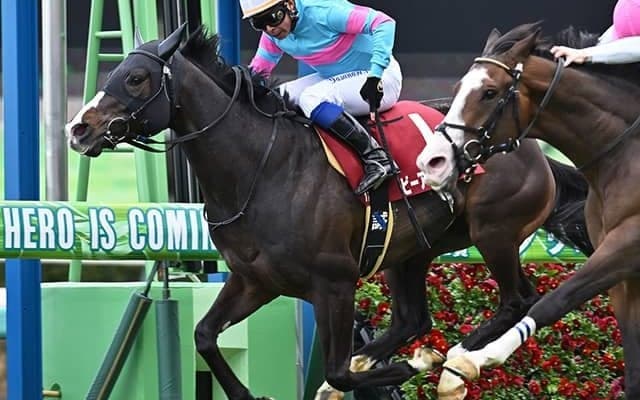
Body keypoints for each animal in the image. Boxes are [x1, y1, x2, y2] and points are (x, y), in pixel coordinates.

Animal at [65, 25, 591, 399]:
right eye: (112, 74)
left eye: (136, 78)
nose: (78, 129)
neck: (263, 169)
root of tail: (532, 148)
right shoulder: (254, 280)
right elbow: (204, 335)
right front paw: (247, 393)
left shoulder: (333, 283)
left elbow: (338, 372)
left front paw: (411, 365)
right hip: (411, 250)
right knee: (412, 319)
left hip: (494, 232)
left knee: (517, 301)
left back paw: (453, 363)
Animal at [417, 22, 640, 399]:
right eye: (457, 88)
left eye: (489, 92)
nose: (433, 161)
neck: (625, 156)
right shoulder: (625, 276)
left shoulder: (626, 245)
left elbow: (556, 299)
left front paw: (474, 359)